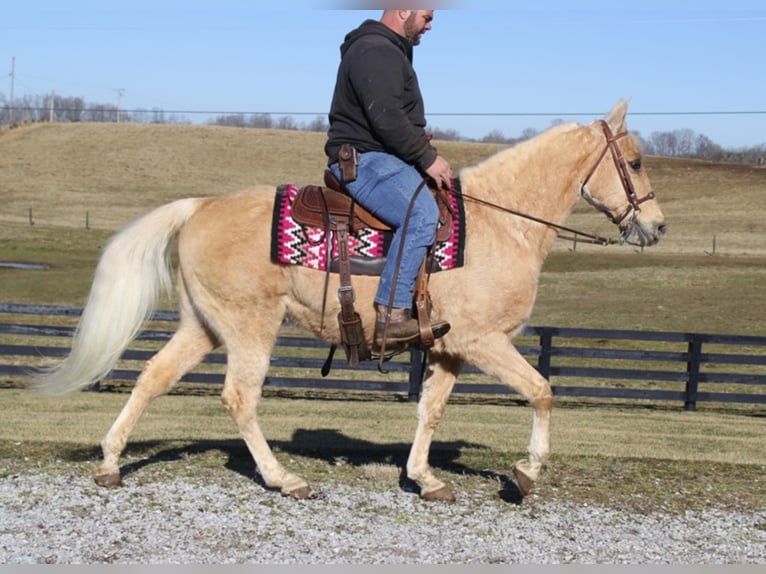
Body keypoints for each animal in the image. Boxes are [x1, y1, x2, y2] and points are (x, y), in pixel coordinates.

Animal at [34, 99, 664, 504]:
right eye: (633, 162)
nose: (656, 226)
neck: (500, 223)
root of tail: (200, 206)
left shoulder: (449, 350)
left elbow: (430, 410)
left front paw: (425, 478)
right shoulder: (482, 341)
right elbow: (541, 390)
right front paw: (528, 471)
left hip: (202, 326)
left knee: (152, 378)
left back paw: (110, 463)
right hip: (249, 327)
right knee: (239, 398)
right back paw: (284, 478)